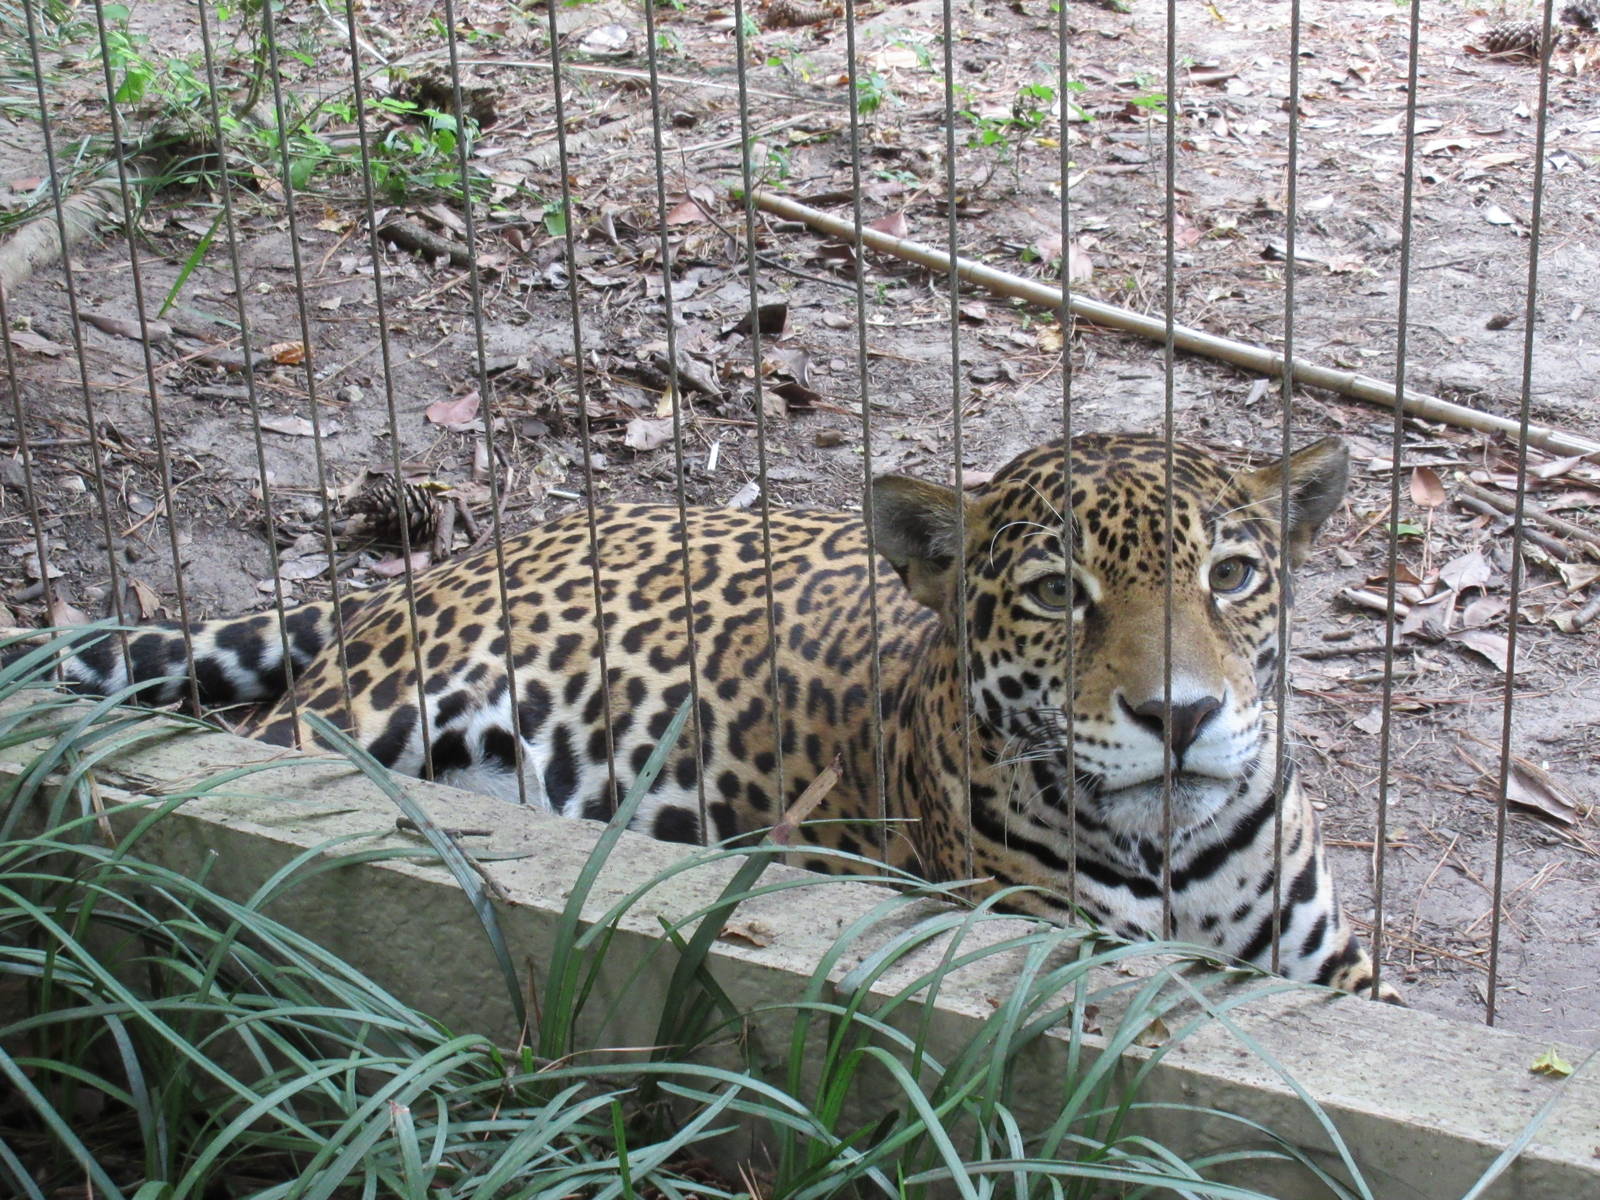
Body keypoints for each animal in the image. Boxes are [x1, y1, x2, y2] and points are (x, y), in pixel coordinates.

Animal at [45, 432, 1396, 999]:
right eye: (1059, 595)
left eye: (1231, 575)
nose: (1181, 714)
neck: (1178, 847)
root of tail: (440, 566)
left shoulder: (1334, 969)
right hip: (343, 729)